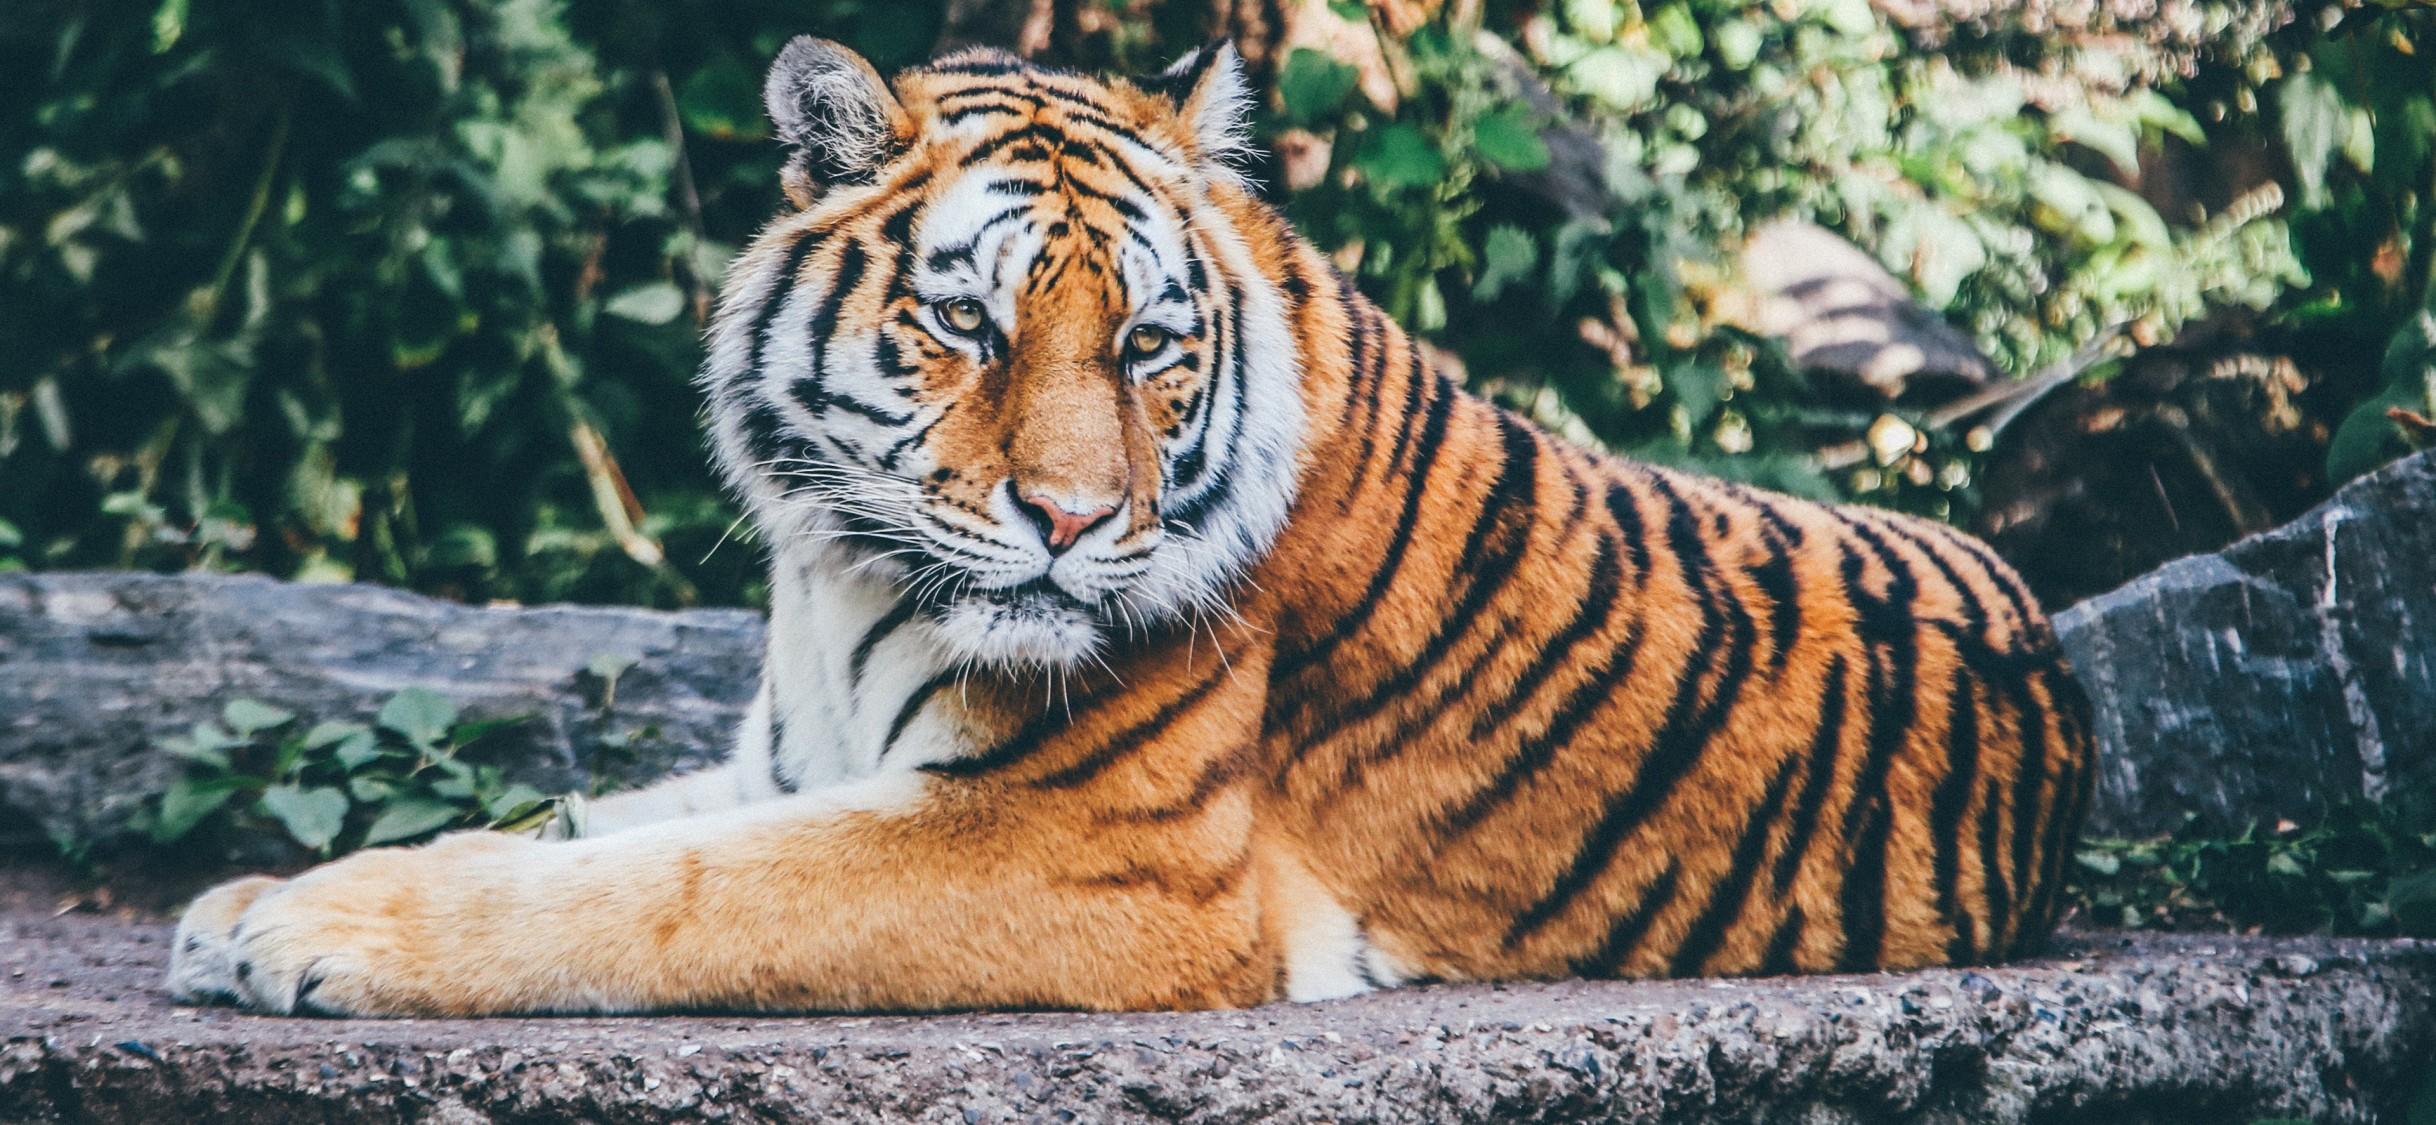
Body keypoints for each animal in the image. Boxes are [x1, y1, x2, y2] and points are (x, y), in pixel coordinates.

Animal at [166, 36, 2094, 1017]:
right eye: (969, 325)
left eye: (1152, 347)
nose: (1074, 520)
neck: (835, 574)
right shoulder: (792, 759)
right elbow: (579, 827)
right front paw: (253, 900)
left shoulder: (1084, 852)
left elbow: (662, 893)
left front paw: (312, 937)